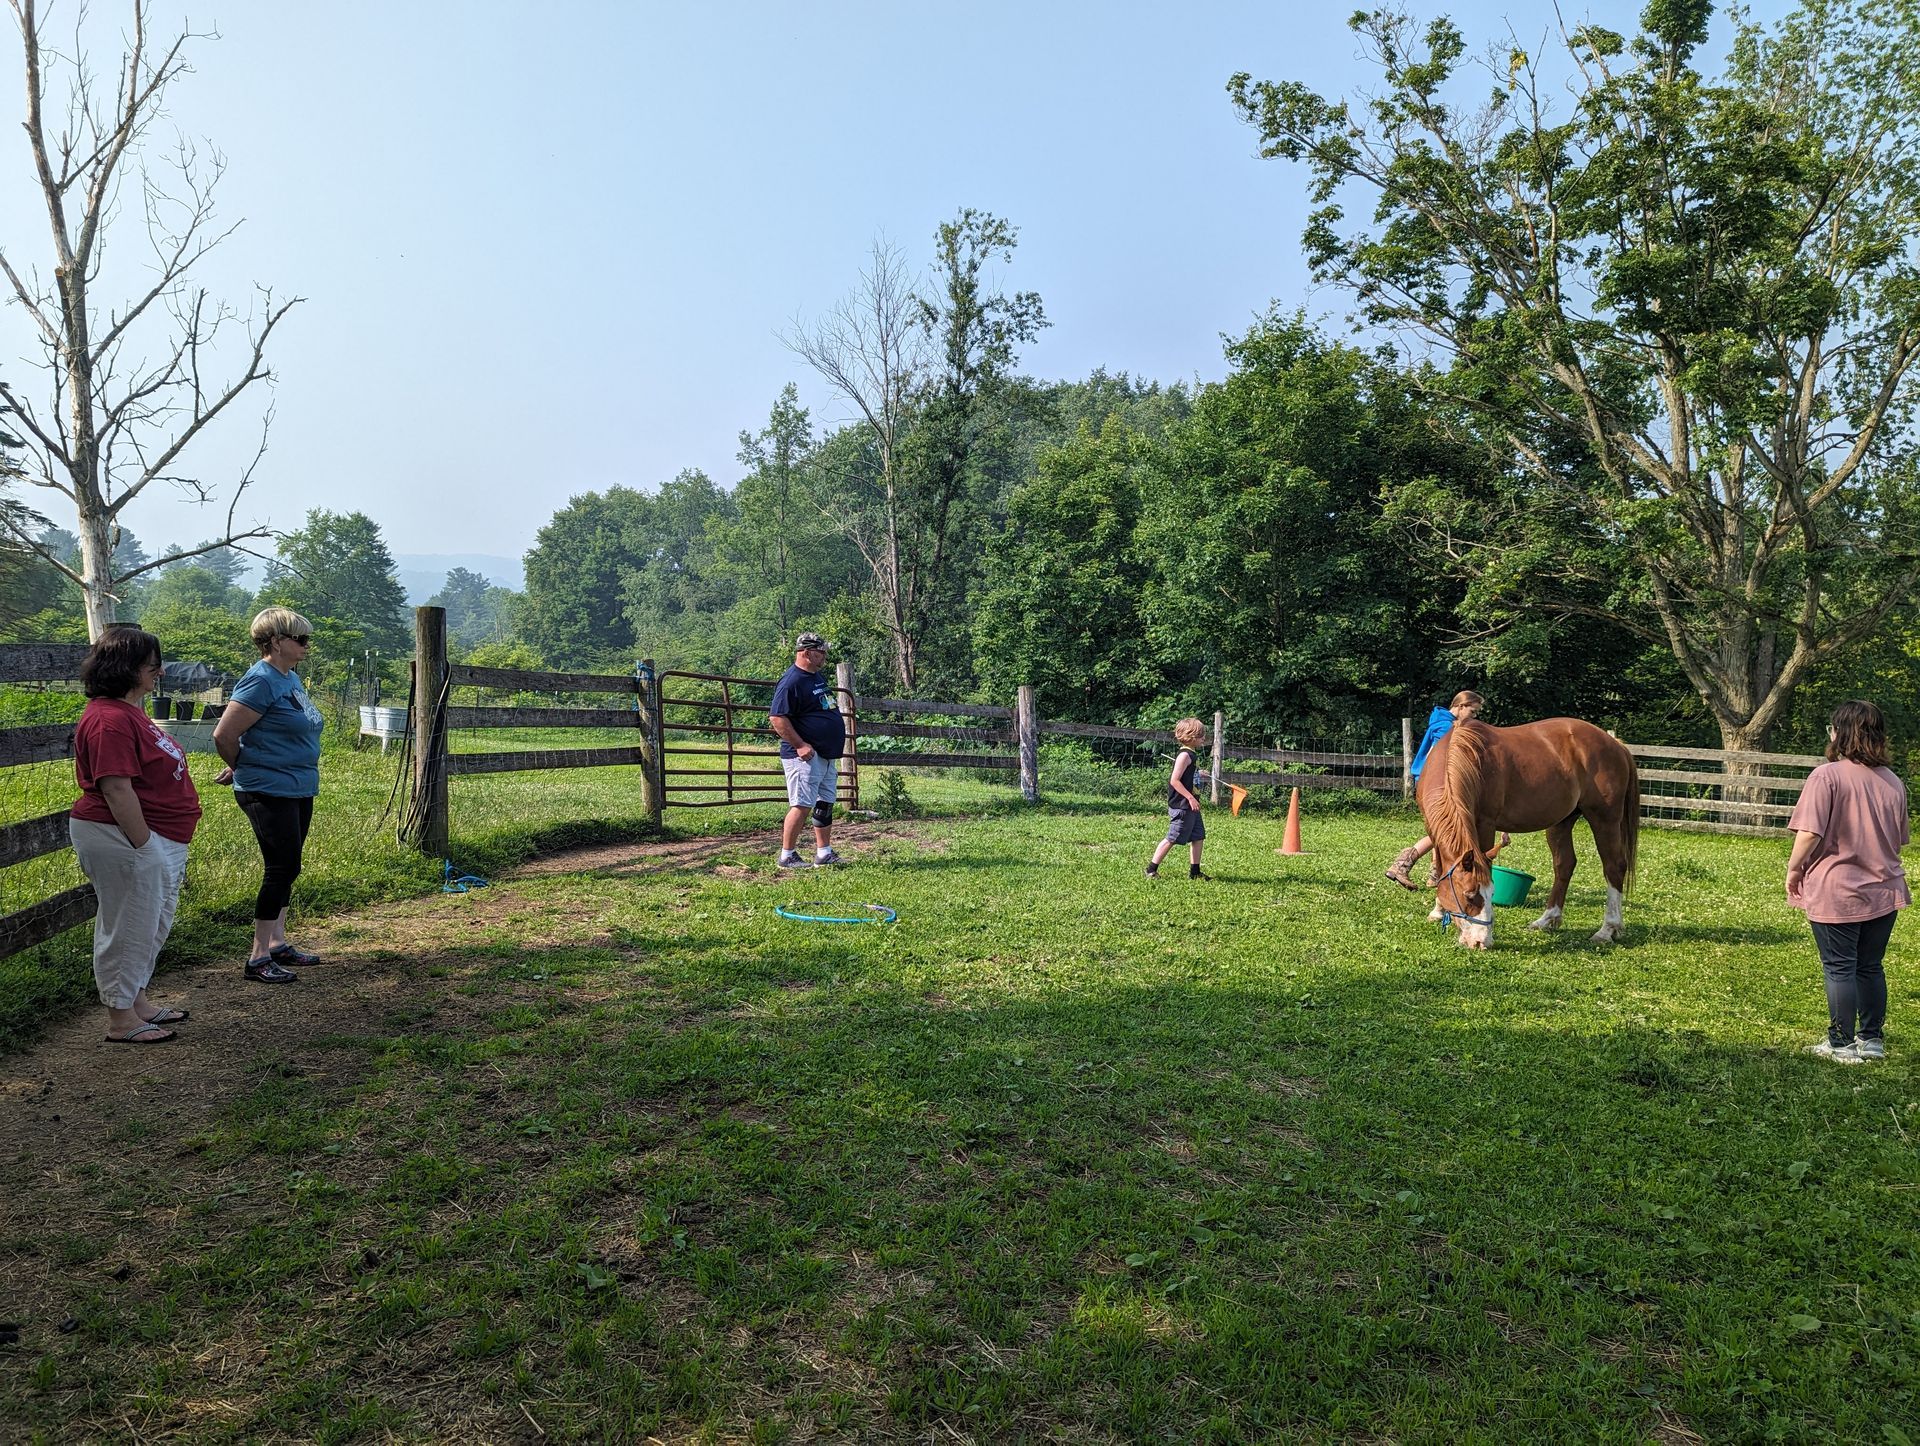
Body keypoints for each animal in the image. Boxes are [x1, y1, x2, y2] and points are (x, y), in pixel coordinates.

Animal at [1416, 718, 1640, 949]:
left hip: (1604, 819)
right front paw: (1438, 910)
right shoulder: (1432, 829)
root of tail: (1615, 744)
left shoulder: (1485, 823)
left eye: (1492, 893)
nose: (1481, 942)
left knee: (1614, 866)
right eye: (1469, 896)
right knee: (1564, 865)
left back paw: (1608, 929)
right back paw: (1547, 919)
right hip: (1561, 823)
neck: (1462, 757)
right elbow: (1441, 868)